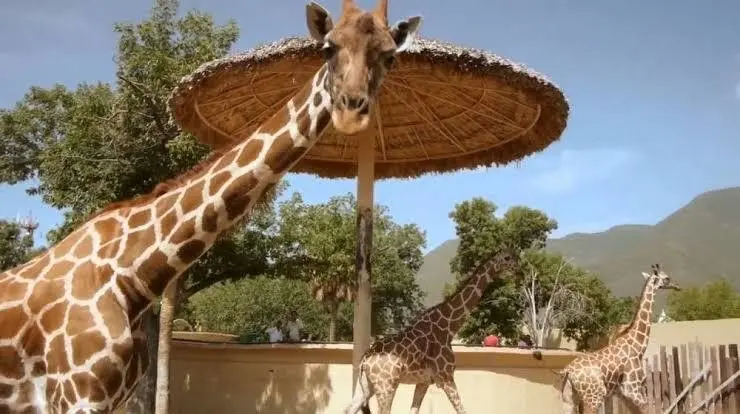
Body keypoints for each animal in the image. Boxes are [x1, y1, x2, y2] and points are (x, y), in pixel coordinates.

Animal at [0, 1, 422, 412]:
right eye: (328, 48)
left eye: (389, 56)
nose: (351, 111)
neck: (133, 274)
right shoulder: (75, 393)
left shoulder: (115, 395)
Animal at [342, 247, 520, 414]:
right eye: (507, 257)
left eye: (515, 256)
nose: (519, 269)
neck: (449, 327)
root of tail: (365, 361)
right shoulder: (446, 377)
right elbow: (462, 410)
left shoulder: (424, 381)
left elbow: (414, 410)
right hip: (386, 385)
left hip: (367, 386)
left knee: (348, 409)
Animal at [556, 264, 680, 414]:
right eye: (667, 278)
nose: (678, 286)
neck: (637, 345)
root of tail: (568, 371)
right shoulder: (633, 389)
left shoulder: (622, 394)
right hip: (594, 395)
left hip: (569, 397)